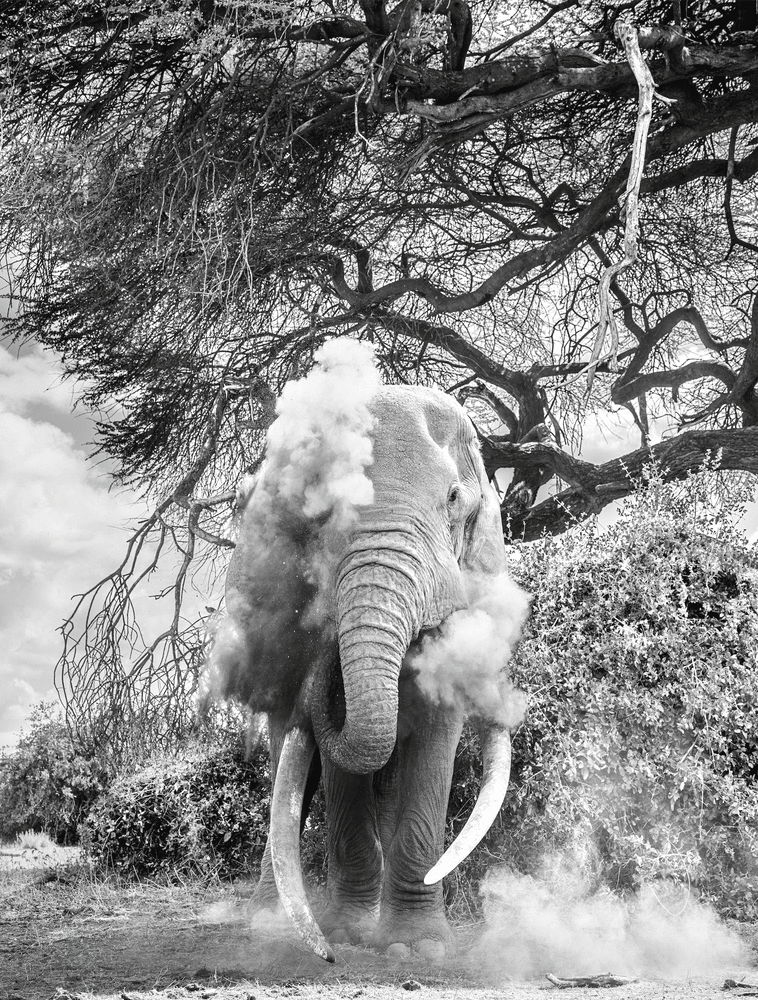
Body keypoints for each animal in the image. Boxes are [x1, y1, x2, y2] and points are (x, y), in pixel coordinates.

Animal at [214, 344, 528, 960]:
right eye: (316, 515)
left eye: (453, 499)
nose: (331, 954)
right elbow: (337, 769)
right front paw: (349, 936)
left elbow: (435, 737)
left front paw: (419, 947)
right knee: (289, 775)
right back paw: (268, 921)